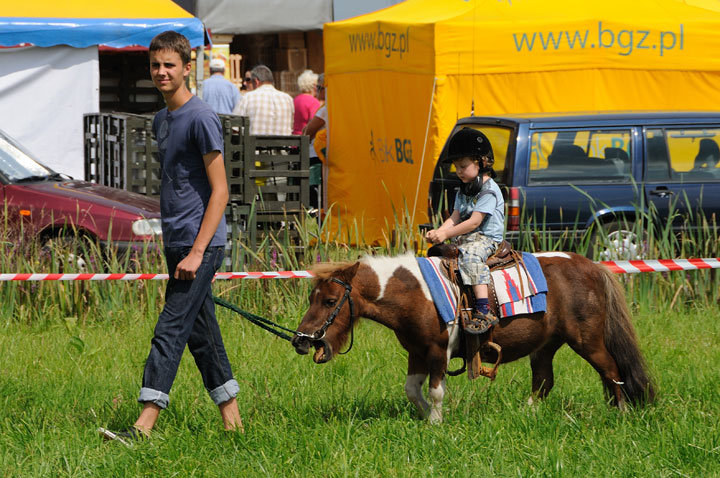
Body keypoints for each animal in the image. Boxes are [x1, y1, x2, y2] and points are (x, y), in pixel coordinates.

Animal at [290, 252, 656, 424]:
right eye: (311, 297)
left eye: (330, 301)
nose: (302, 340)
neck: (415, 293)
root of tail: (594, 267)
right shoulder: (416, 353)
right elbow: (412, 391)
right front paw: (426, 415)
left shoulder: (437, 351)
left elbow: (436, 390)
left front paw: (436, 421)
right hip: (545, 345)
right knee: (543, 381)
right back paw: (524, 415)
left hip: (587, 340)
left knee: (612, 371)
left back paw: (622, 414)